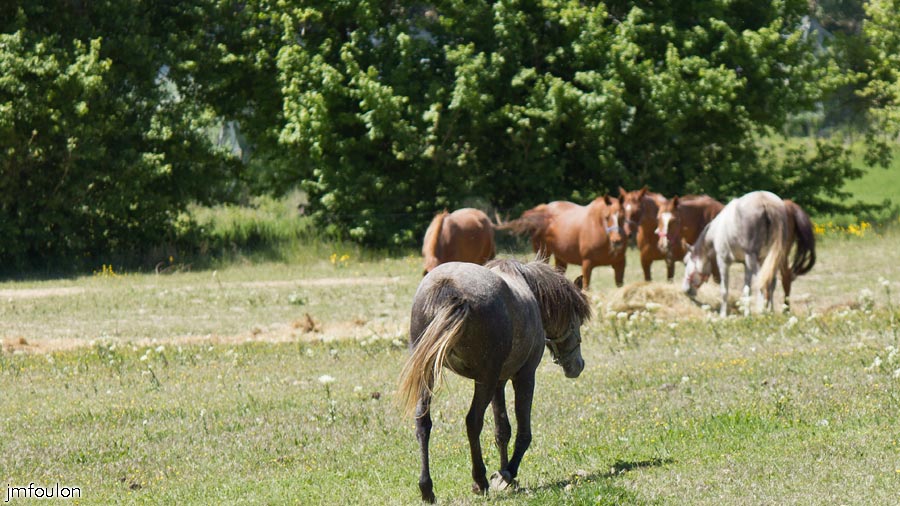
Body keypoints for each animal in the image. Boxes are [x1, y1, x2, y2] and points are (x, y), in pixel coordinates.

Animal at [397, 259, 592, 503]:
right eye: (576, 322)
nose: (578, 365)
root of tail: (449, 288)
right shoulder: (524, 377)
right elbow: (523, 432)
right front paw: (506, 473)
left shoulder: (499, 382)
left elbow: (502, 430)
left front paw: (503, 472)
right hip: (484, 380)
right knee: (473, 421)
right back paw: (479, 480)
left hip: (431, 374)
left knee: (423, 422)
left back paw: (427, 488)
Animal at [496, 196, 626, 289]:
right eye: (607, 217)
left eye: (623, 217)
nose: (617, 241)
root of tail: (540, 210)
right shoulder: (587, 264)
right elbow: (586, 287)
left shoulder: (620, 265)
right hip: (543, 252)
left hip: (560, 258)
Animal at [682, 191, 815, 316]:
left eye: (686, 263)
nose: (685, 290)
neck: (717, 230)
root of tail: (765, 201)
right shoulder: (746, 265)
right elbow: (747, 290)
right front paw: (747, 314)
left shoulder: (723, 261)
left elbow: (724, 290)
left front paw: (723, 314)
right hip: (773, 260)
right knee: (772, 283)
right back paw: (770, 311)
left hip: (755, 259)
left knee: (763, 282)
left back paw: (762, 312)